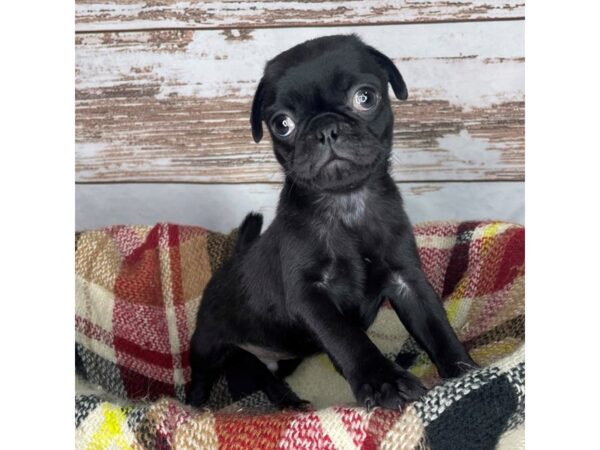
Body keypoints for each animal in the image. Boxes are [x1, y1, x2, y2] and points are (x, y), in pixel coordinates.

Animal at [188, 33, 478, 410]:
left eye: (365, 97)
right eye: (282, 123)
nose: (325, 128)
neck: (346, 203)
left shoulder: (407, 280)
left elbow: (436, 326)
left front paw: (465, 370)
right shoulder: (311, 296)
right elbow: (348, 338)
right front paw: (384, 381)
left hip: (272, 359)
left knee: (263, 376)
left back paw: (290, 402)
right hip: (208, 348)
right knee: (202, 379)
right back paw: (194, 405)